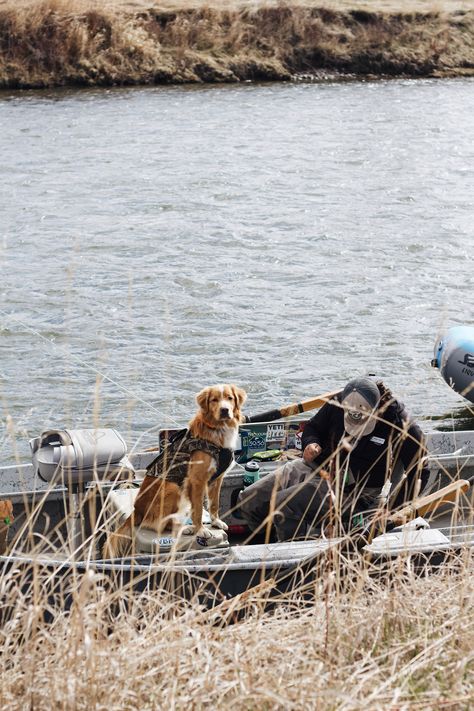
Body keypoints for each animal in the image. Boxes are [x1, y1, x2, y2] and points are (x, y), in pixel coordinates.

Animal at [103, 384, 244, 556]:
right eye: (214, 400)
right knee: (160, 525)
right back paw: (186, 528)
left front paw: (216, 521)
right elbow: (198, 509)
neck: (218, 429)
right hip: (173, 487)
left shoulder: (217, 479)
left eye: (230, 398)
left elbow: (214, 504)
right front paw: (201, 530)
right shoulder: (197, 480)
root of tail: (136, 511)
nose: (224, 410)